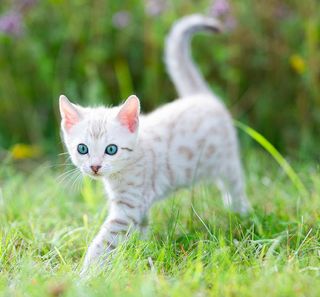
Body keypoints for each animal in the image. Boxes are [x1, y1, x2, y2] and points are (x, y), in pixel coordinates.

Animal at [58, 13, 251, 272]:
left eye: (111, 149)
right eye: (82, 149)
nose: (95, 167)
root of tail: (202, 96)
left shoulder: (128, 208)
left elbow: (103, 241)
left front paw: (86, 272)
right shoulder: (137, 208)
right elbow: (139, 229)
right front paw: (138, 251)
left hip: (227, 162)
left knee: (235, 186)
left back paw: (242, 213)